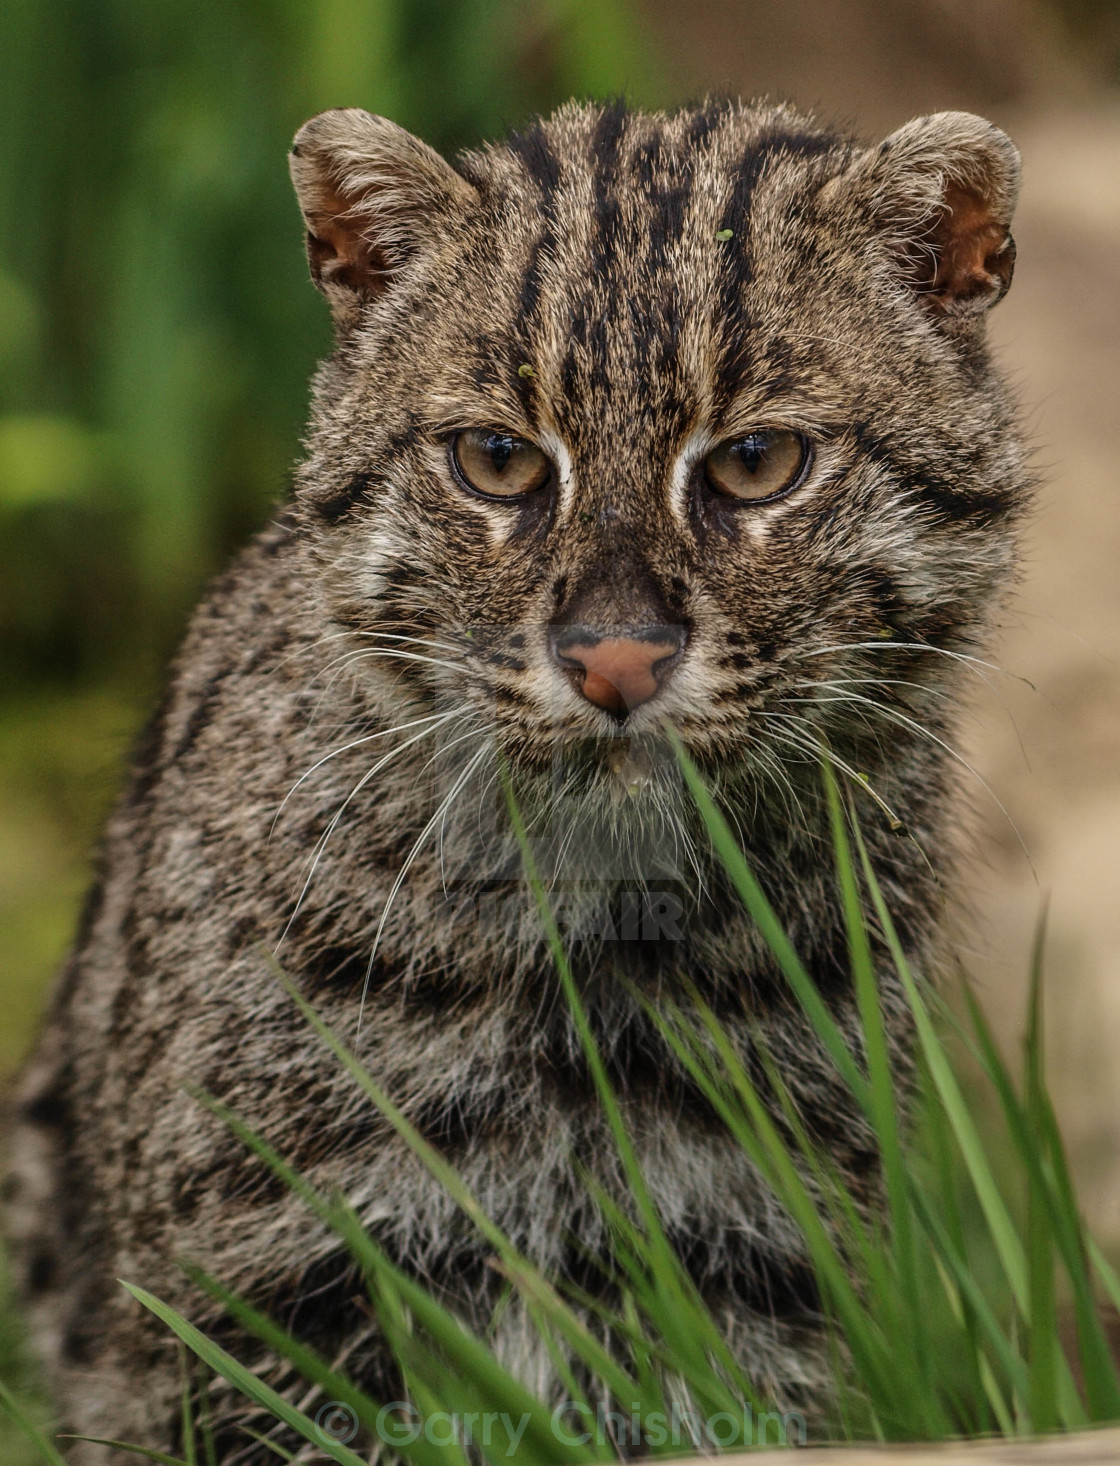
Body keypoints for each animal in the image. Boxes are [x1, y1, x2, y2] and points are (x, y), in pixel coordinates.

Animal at [4, 97, 1026, 1460]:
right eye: (495, 458)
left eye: (758, 460)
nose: (613, 657)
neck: (599, 938)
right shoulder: (263, 1287)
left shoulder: (756, 1267)